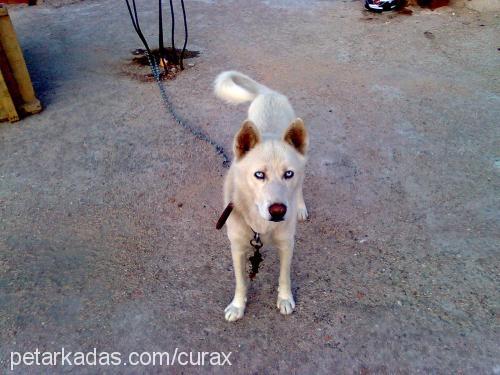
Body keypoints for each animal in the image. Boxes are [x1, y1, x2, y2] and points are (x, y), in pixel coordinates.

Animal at [214, 71, 308, 324]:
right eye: (259, 175)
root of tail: (269, 93)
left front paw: (285, 299)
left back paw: (300, 206)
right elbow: (241, 282)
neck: (261, 226)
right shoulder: (237, 248)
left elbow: (284, 276)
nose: (278, 211)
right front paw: (238, 306)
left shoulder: (287, 244)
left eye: (288, 174)